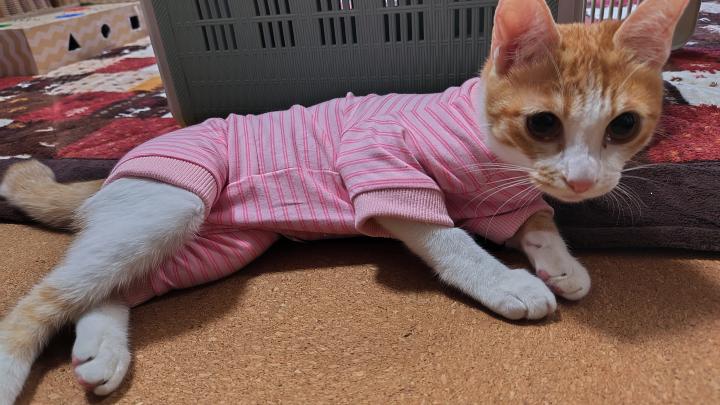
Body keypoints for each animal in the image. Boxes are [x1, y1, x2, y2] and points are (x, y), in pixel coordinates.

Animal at [0, 0, 688, 401]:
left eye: (624, 126)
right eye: (544, 124)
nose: (584, 182)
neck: (482, 144)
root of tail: (124, 162)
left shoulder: (506, 199)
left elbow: (536, 220)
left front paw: (562, 263)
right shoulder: (379, 166)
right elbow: (451, 239)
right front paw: (510, 282)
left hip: (219, 243)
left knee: (107, 288)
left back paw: (101, 350)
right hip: (172, 208)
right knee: (45, 298)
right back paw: (13, 368)